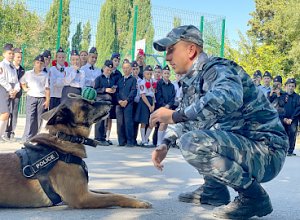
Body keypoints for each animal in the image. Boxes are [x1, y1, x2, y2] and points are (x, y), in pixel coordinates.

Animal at [0, 94, 151, 208]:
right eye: (86, 104)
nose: (109, 102)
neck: (65, 139)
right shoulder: (82, 197)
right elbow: (113, 197)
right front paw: (139, 202)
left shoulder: (86, 190)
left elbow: (107, 192)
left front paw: (132, 196)